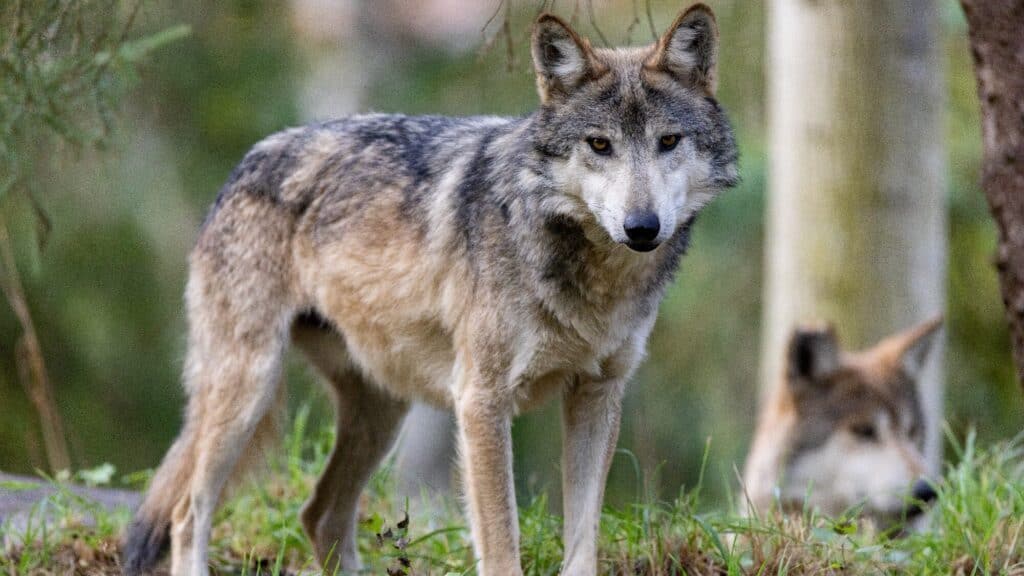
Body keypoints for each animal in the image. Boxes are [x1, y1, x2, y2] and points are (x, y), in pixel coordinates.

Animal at [121, 4, 737, 575]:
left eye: (668, 141)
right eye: (600, 145)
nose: (642, 227)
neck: (589, 274)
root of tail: (242, 164)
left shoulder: (598, 394)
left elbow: (582, 543)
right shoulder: (481, 401)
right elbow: (502, 543)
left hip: (383, 411)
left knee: (319, 515)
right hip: (249, 387)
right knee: (188, 513)